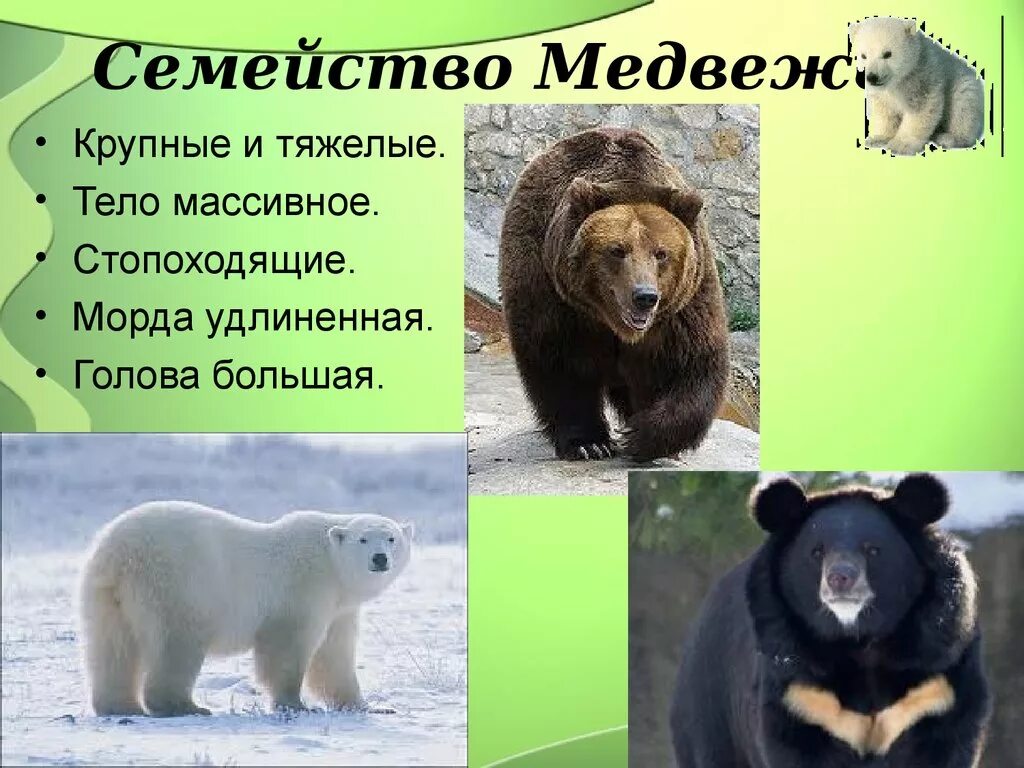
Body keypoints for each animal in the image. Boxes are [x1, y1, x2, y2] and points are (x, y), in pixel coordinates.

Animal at [80, 501, 412, 716]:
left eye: (392, 538)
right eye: (363, 539)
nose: (380, 558)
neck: (331, 563)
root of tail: (119, 554)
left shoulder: (339, 609)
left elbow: (334, 656)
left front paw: (371, 706)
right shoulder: (303, 589)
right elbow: (287, 648)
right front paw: (296, 704)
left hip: (105, 595)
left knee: (113, 648)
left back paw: (120, 705)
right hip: (176, 584)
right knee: (176, 644)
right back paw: (185, 706)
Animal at [498, 127, 729, 462]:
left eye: (661, 253)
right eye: (617, 250)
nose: (644, 296)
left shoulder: (683, 306)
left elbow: (689, 363)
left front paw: (643, 435)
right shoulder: (554, 293)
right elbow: (559, 361)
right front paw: (588, 443)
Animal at [670, 473, 992, 768]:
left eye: (872, 549)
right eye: (816, 551)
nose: (840, 578)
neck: (859, 641)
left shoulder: (934, 687)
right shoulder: (801, 696)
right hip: (710, 712)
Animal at [849, 17, 985, 155]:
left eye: (887, 54)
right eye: (863, 56)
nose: (872, 77)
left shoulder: (922, 77)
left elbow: (920, 109)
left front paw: (901, 145)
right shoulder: (883, 93)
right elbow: (885, 111)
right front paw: (878, 138)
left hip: (963, 85)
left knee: (963, 108)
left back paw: (948, 138)